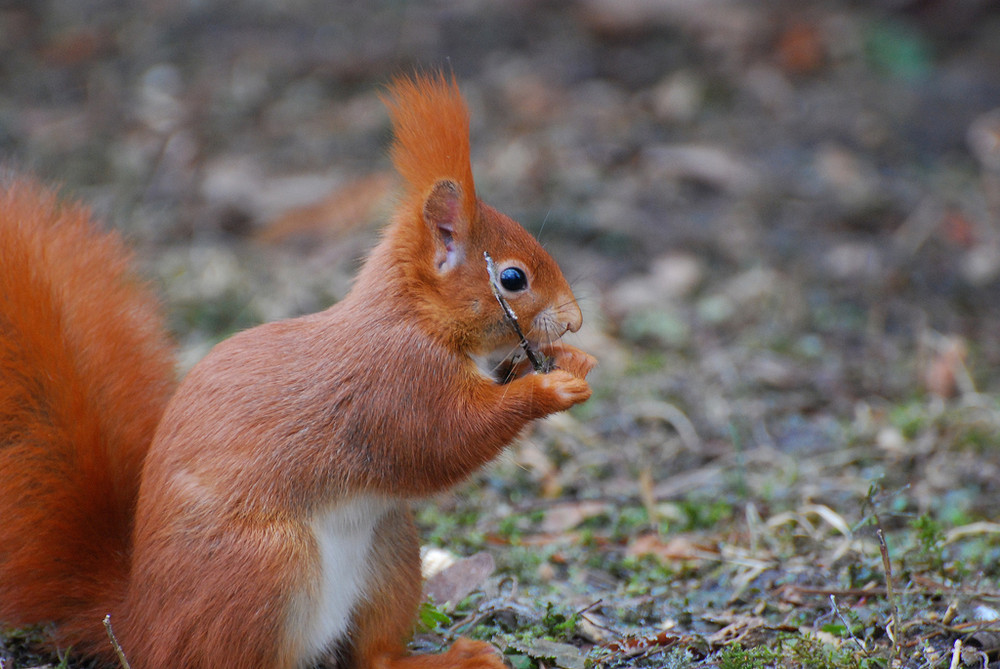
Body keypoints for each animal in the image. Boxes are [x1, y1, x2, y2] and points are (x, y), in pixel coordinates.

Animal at [0, 73, 592, 668]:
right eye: (512, 279)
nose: (575, 320)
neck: (413, 317)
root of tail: (138, 624)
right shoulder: (396, 384)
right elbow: (444, 443)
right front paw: (549, 388)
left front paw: (572, 362)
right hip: (265, 569)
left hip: (390, 546)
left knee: (375, 655)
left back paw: (452, 658)